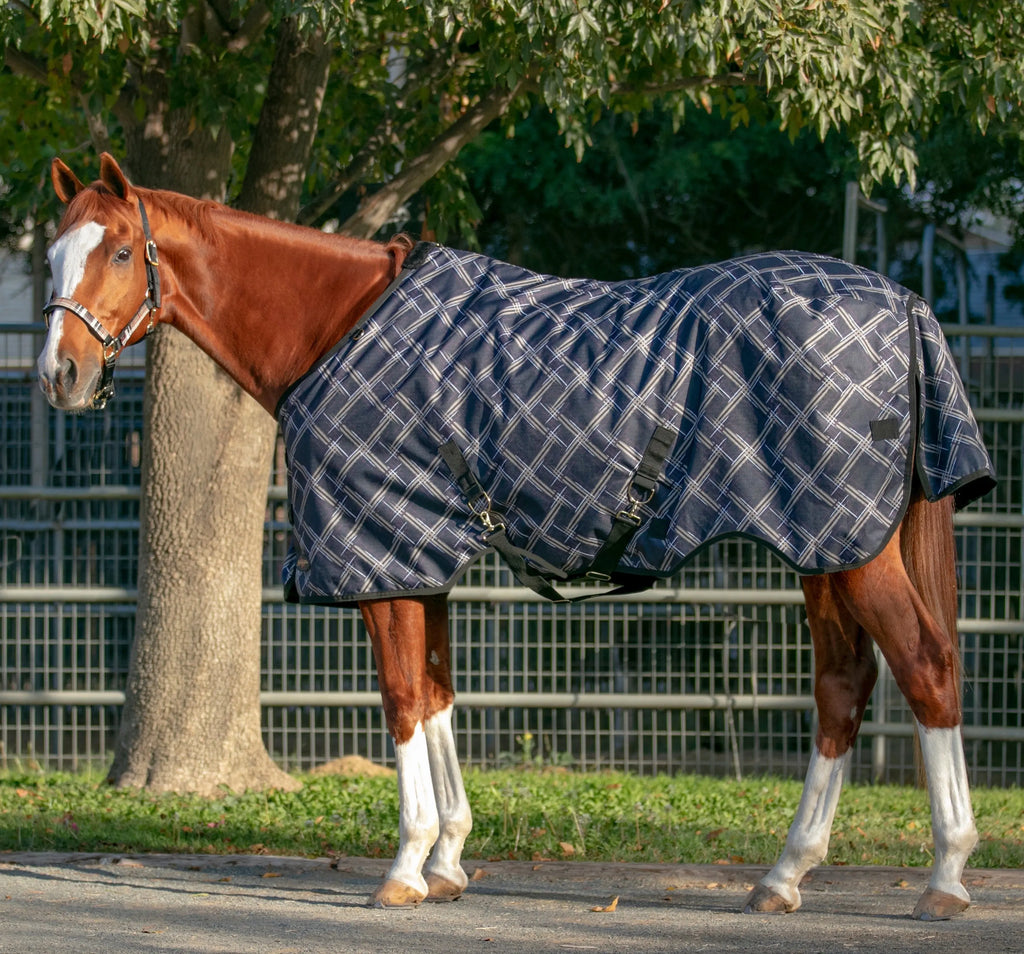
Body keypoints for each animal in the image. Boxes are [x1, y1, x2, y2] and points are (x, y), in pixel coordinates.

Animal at [37, 153, 994, 921]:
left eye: (118, 251)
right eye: (50, 254)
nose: (59, 376)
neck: (335, 323)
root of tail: (904, 303)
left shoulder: (381, 556)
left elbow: (400, 700)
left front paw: (404, 868)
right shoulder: (420, 559)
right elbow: (436, 695)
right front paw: (449, 861)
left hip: (852, 549)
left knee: (926, 668)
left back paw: (944, 879)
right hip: (827, 546)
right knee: (843, 687)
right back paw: (785, 877)